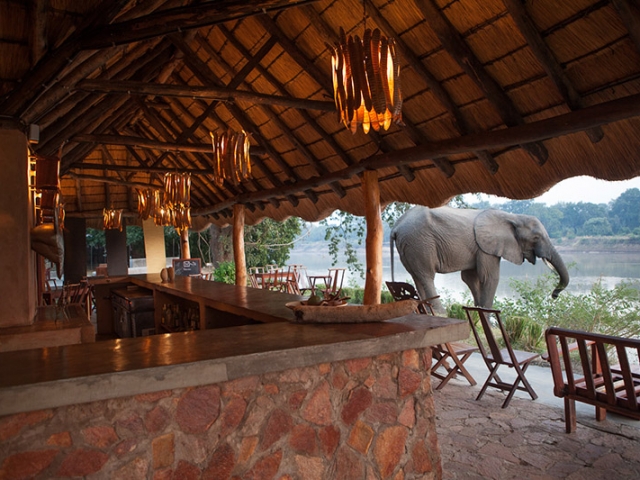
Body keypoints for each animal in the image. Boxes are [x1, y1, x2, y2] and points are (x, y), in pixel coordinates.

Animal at [390, 207, 568, 316]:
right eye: (536, 238)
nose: (554, 295)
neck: (512, 217)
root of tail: (396, 226)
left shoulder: (479, 248)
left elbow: (470, 278)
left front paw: (478, 311)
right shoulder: (486, 247)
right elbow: (489, 277)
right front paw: (486, 315)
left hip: (410, 246)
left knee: (417, 277)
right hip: (420, 243)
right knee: (427, 276)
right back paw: (441, 313)